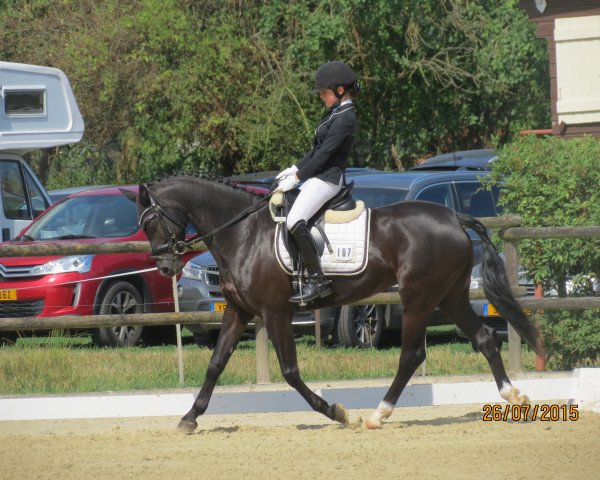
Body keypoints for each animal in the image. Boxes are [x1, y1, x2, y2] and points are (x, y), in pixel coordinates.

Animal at [136, 174, 544, 434]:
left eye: (152, 222)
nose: (165, 266)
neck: (243, 234)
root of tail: (453, 216)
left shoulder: (275, 312)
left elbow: (290, 372)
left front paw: (337, 412)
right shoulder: (240, 311)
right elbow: (216, 364)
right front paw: (190, 418)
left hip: (419, 297)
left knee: (412, 354)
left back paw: (378, 415)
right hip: (450, 295)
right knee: (483, 339)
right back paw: (515, 398)